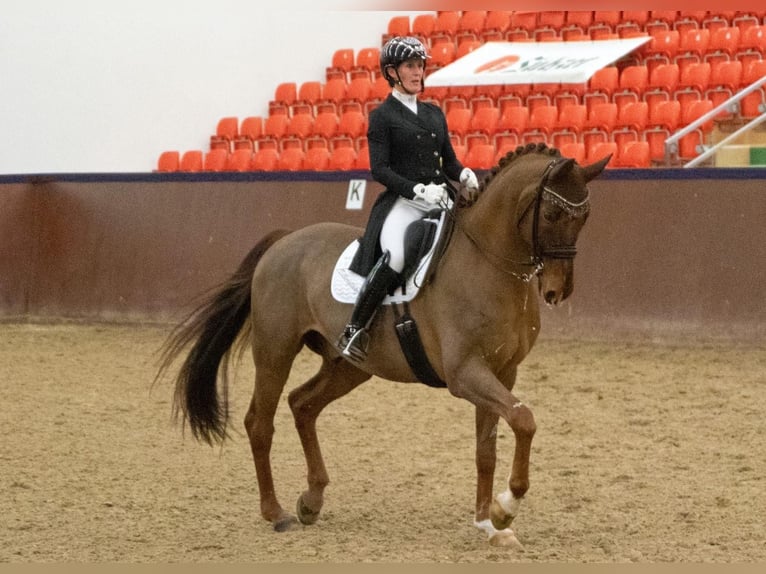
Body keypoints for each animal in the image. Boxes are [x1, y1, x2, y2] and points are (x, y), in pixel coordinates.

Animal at [156, 143, 610, 548]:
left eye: (585, 216)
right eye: (551, 213)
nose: (557, 291)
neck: (489, 263)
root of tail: (285, 241)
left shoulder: (502, 372)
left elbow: (489, 448)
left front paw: (489, 524)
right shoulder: (465, 373)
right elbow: (525, 420)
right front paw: (505, 507)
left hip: (349, 365)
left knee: (303, 404)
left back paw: (311, 500)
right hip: (275, 352)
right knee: (259, 422)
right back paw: (276, 513)